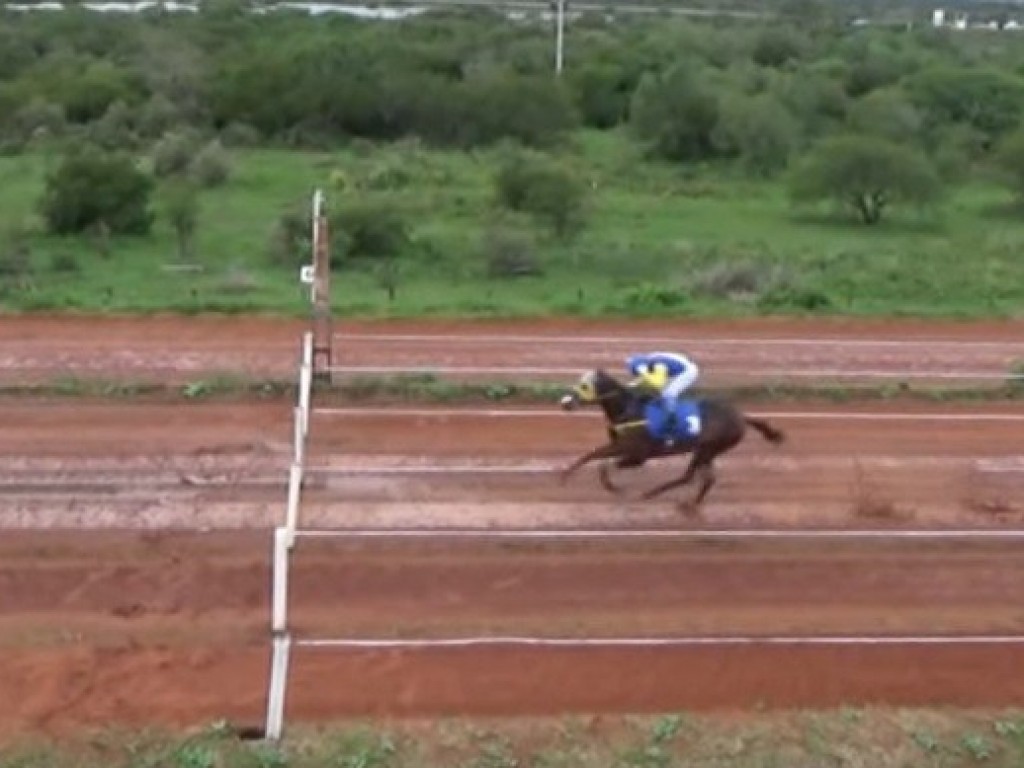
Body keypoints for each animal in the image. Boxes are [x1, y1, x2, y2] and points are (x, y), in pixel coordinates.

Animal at [561, 370, 782, 514]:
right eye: (579, 382)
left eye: (585, 385)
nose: (565, 402)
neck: (629, 410)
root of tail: (741, 416)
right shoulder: (620, 445)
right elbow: (593, 455)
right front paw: (566, 474)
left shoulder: (637, 455)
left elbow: (602, 463)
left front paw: (611, 486)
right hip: (707, 449)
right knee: (705, 479)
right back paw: (688, 503)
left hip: (709, 448)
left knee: (689, 477)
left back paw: (653, 493)